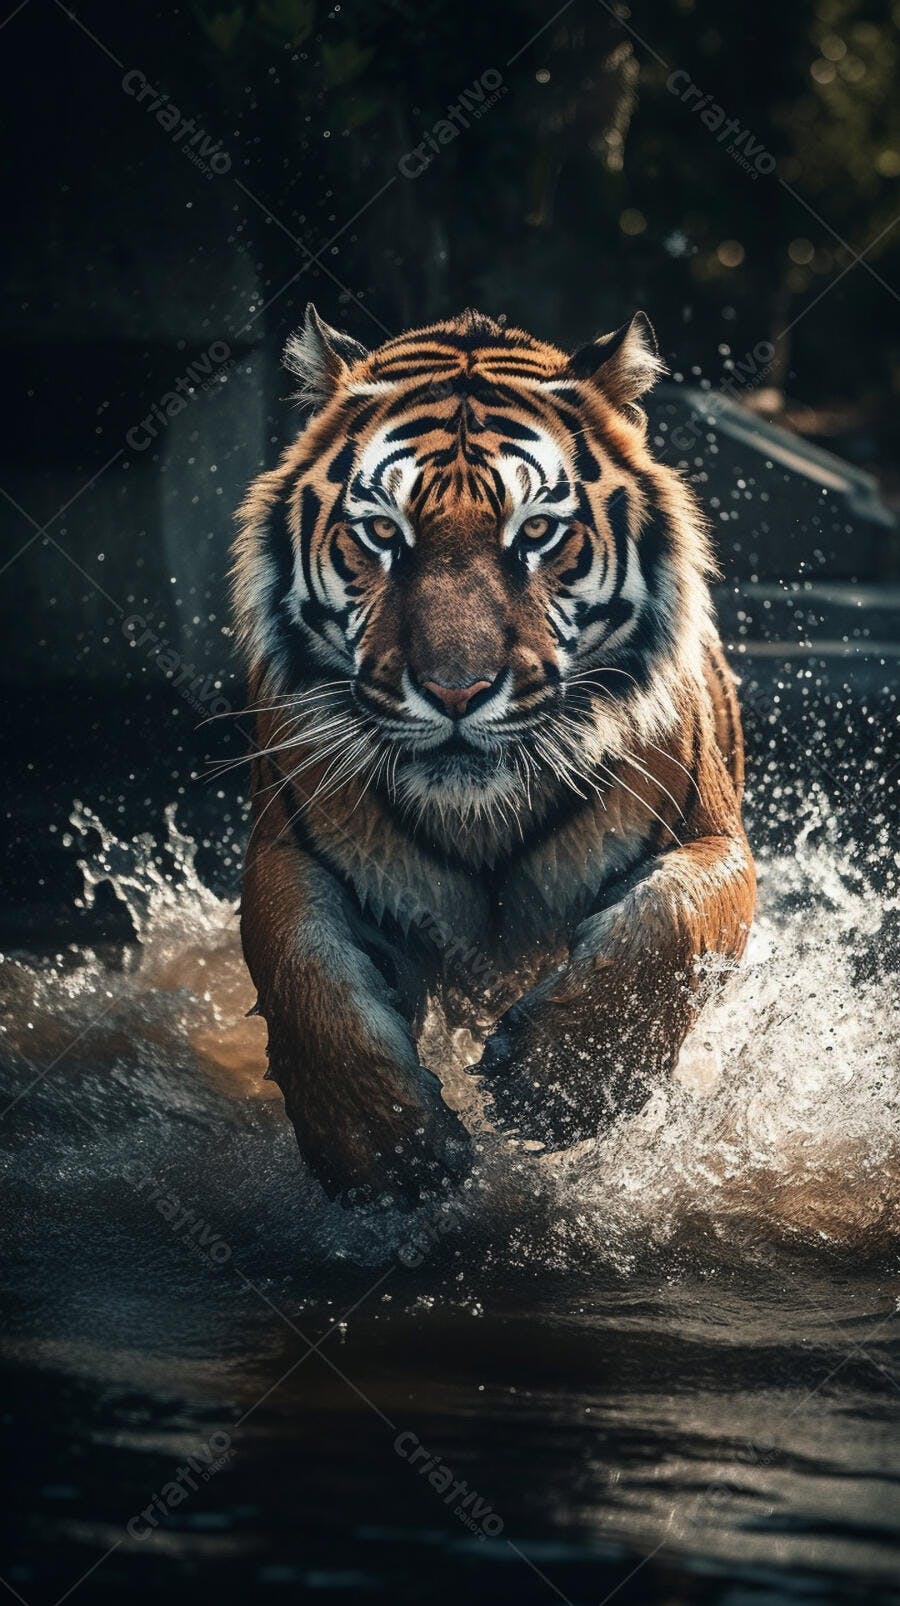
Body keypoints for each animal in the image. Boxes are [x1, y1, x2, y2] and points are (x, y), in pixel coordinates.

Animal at [231, 304, 756, 1203]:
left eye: (536, 531)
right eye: (382, 532)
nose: (455, 690)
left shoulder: (712, 835)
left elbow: (669, 921)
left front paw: (557, 1087)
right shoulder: (288, 851)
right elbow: (304, 973)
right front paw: (386, 1150)